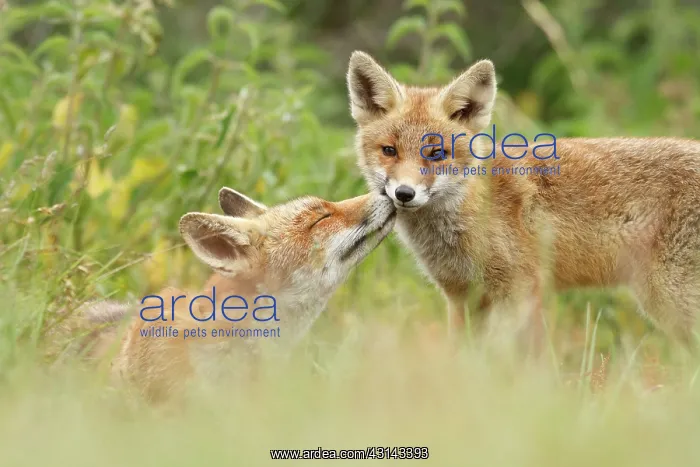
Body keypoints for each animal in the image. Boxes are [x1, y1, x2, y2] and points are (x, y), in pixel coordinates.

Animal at [346, 50, 700, 347]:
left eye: (436, 154)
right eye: (389, 150)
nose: (404, 193)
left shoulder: (519, 291)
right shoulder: (462, 298)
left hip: (670, 300)